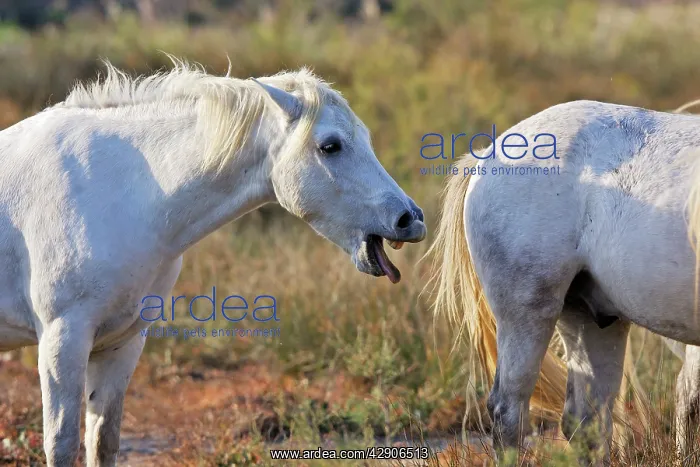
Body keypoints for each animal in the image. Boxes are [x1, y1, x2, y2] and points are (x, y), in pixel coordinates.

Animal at [0, 58, 426, 466]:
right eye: (331, 146)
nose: (411, 219)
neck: (117, 189)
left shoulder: (122, 342)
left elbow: (103, 442)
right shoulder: (63, 339)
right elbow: (61, 445)